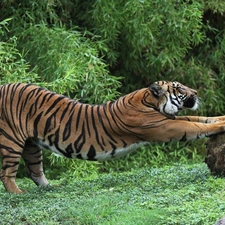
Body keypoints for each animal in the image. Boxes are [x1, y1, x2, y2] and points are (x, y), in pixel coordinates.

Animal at [0, 81, 225, 193]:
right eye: (179, 88)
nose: (195, 91)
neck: (150, 102)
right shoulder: (166, 126)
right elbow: (193, 125)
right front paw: (221, 124)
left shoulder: (169, 119)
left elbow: (199, 118)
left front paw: (221, 117)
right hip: (12, 141)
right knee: (7, 174)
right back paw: (18, 193)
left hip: (32, 145)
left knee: (35, 171)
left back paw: (51, 188)